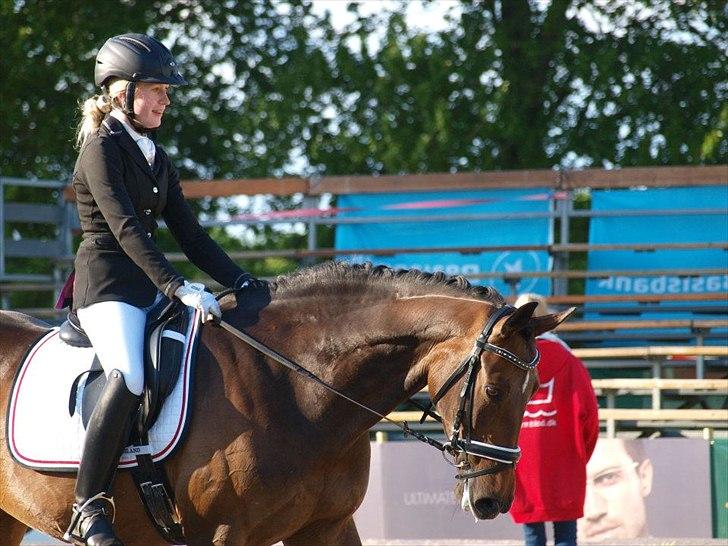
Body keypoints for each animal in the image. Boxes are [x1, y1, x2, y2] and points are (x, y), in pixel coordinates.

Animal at [0, 262, 576, 540]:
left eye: (533, 393)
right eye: (495, 389)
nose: (493, 502)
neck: (300, 389)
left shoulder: (327, 528)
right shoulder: (222, 535)